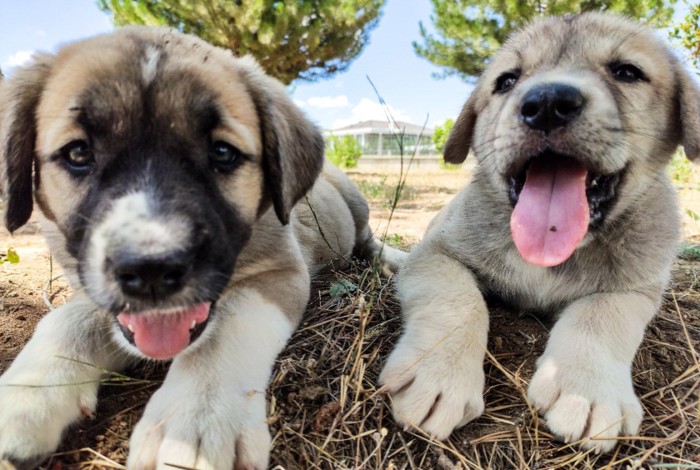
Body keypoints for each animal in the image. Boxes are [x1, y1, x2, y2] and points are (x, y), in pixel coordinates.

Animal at [0, 26, 402, 470]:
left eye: (222, 153)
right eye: (77, 152)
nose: (152, 271)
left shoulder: (280, 271)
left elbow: (226, 325)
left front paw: (194, 422)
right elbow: (67, 321)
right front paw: (26, 396)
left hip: (355, 201)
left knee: (368, 239)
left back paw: (391, 262)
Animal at [382, 12, 700, 454]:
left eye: (626, 72)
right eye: (506, 81)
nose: (547, 103)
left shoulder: (635, 290)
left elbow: (600, 315)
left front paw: (586, 390)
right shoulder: (437, 253)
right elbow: (458, 301)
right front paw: (438, 374)